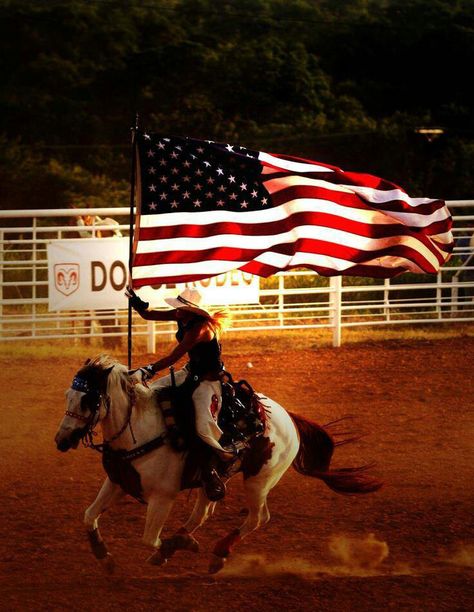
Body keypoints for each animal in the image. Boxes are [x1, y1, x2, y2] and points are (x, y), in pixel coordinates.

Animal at [54, 354, 382, 572]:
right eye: (68, 395)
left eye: (88, 400)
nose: (61, 440)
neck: (139, 429)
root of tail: (286, 416)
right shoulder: (118, 481)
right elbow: (89, 515)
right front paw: (104, 555)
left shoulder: (163, 497)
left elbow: (149, 539)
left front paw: (177, 547)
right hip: (213, 478)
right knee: (203, 512)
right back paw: (185, 539)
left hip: (259, 480)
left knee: (257, 518)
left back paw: (217, 553)